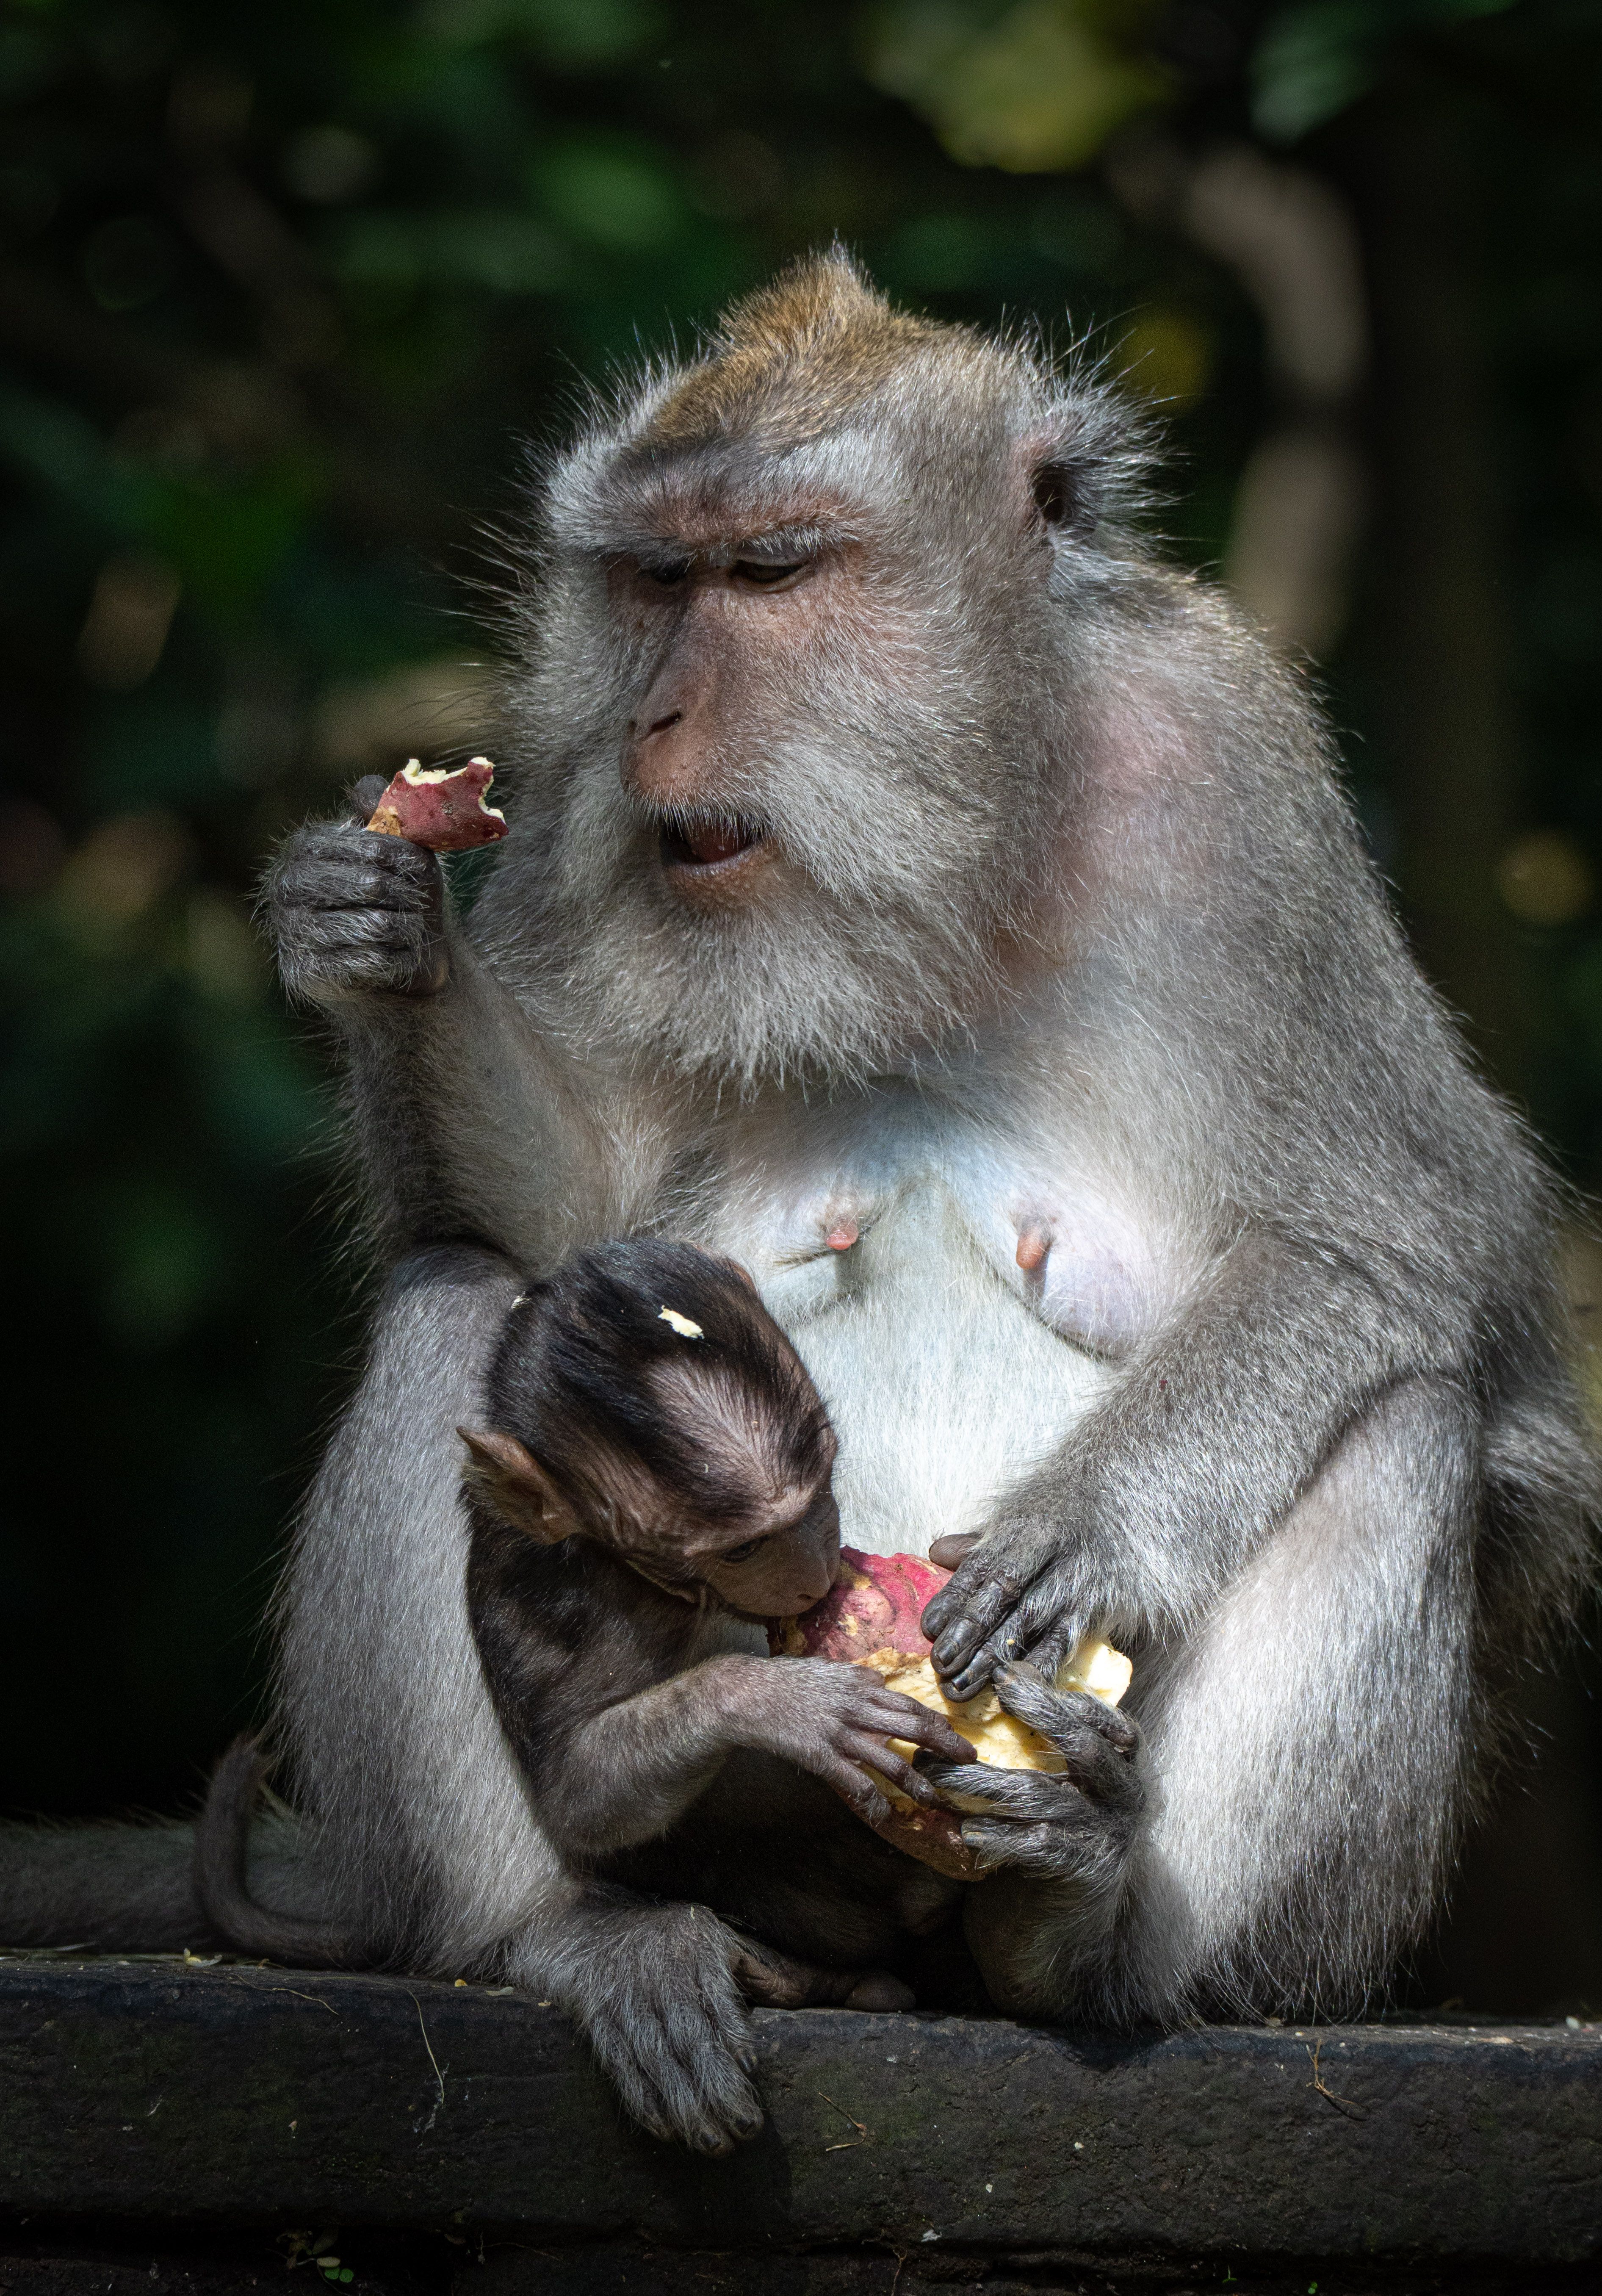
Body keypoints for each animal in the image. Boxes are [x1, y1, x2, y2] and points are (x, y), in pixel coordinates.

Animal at [6, 250, 1593, 2155]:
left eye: (770, 571)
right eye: (654, 580)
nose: (656, 716)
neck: (962, 852)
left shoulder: (1233, 777)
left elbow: (1401, 1246)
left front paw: (1088, 1527)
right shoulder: (579, 809)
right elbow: (564, 1219)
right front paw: (375, 932)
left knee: (1399, 1417)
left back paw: (1086, 1933)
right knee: (465, 1298)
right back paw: (574, 1929)